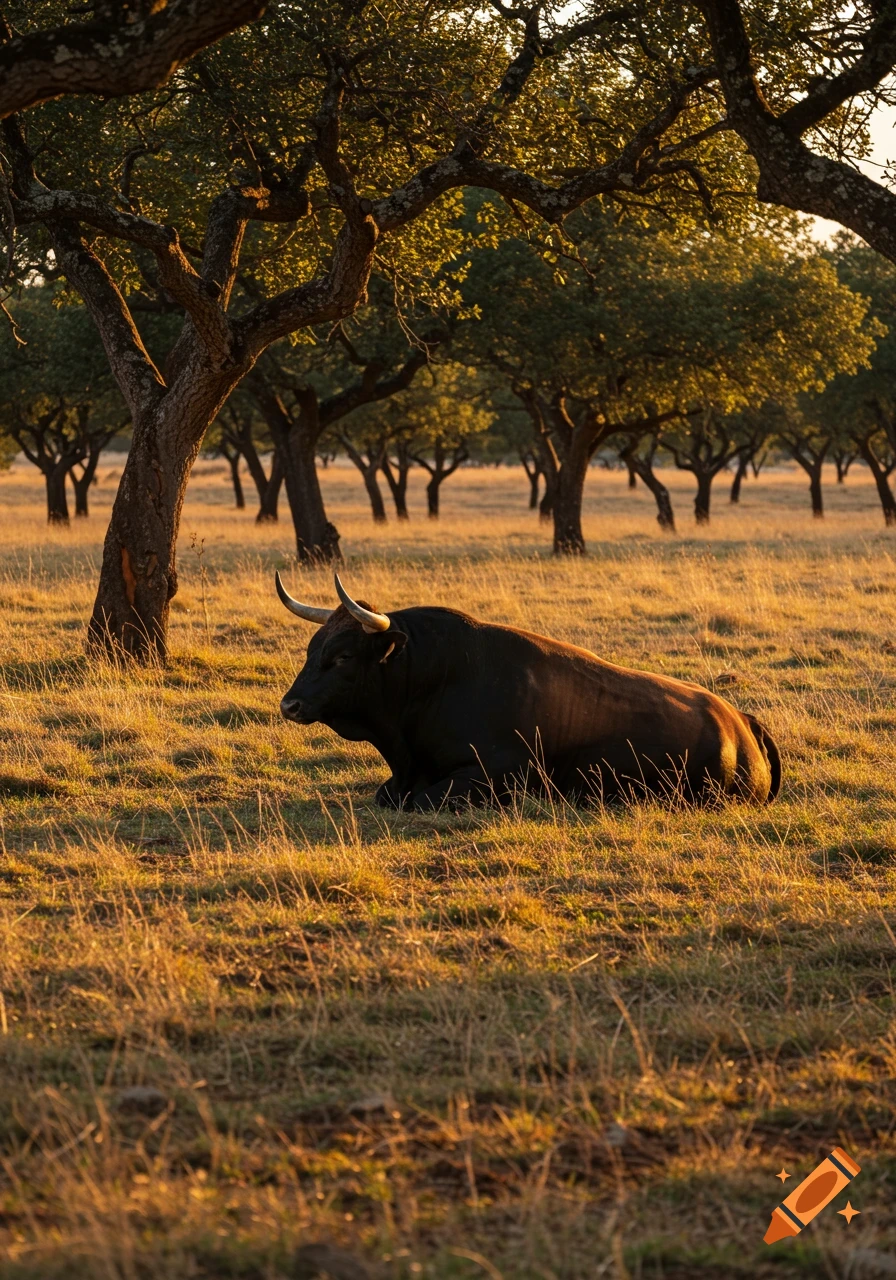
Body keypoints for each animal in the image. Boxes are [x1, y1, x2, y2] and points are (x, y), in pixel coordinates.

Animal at [276, 573, 781, 810]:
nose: (290, 704)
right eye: (312, 649)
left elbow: (419, 800)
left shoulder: (496, 777)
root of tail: (740, 721)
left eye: (343, 656)